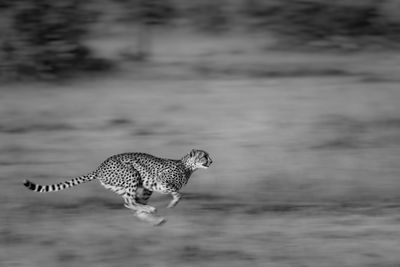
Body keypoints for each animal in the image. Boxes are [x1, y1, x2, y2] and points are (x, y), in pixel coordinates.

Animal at [23, 150, 212, 225]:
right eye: (204, 156)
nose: (211, 161)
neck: (187, 167)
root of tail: (100, 167)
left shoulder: (149, 187)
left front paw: (149, 214)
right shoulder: (161, 183)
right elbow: (178, 194)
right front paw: (172, 204)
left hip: (127, 184)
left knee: (129, 203)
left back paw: (152, 216)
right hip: (132, 174)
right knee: (129, 201)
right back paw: (151, 210)